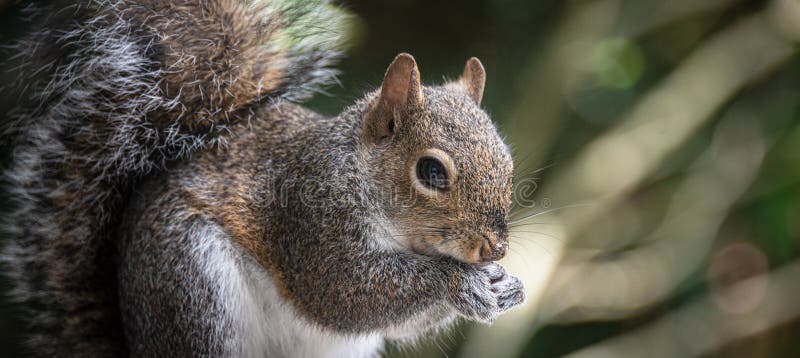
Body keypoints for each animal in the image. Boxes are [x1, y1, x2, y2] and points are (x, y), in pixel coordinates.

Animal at [1, 1, 524, 356]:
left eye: (508, 162)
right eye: (431, 171)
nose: (493, 249)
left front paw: (507, 286)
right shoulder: (310, 219)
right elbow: (346, 293)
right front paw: (461, 283)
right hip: (190, 286)